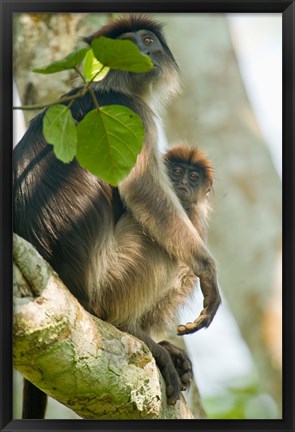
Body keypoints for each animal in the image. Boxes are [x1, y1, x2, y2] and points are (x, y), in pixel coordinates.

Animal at [13, 15, 221, 416]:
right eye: (127, 44)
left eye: (147, 41)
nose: (142, 52)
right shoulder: (133, 113)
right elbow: (144, 193)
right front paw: (207, 270)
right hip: (110, 281)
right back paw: (133, 330)